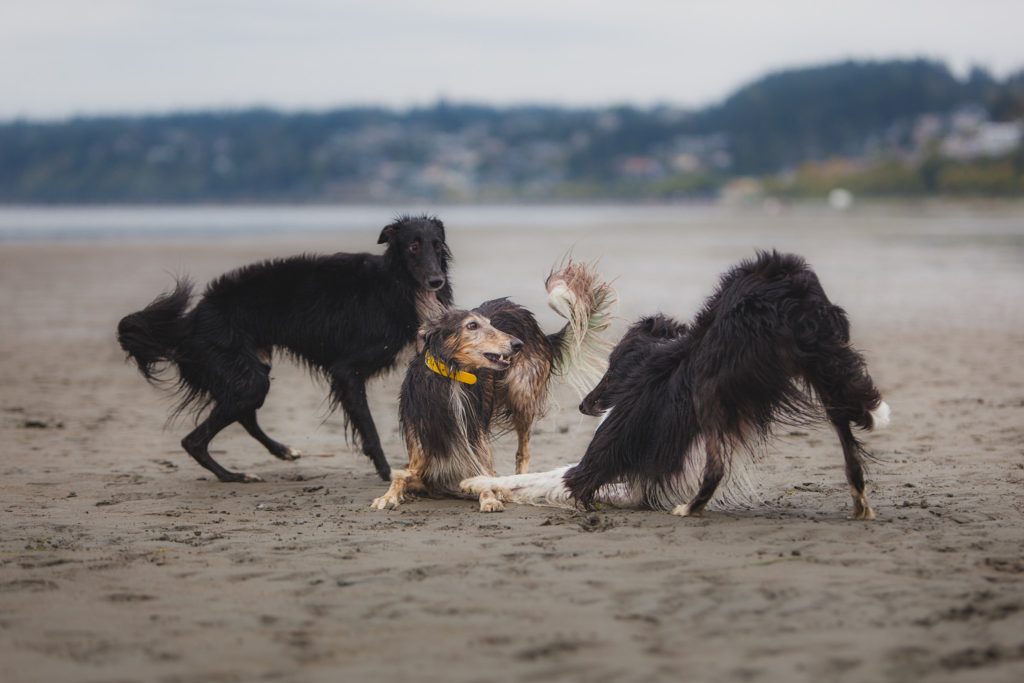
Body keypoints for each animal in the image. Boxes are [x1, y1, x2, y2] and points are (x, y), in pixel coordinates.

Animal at [117, 216, 452, 483]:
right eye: (413, 246)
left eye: (437, 245)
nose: (437, 281)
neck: (395, 282)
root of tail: (192, 319)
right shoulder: (347, 371)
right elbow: (369, 428)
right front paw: (388, 473)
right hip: (246, 378)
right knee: (194, 440)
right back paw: (234, 476)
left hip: (250, 372)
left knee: (243, 417)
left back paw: (283, 451)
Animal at [376, 262, 614, 511]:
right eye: (472, 325)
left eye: (489, 325)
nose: (518, 344)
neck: (454, 378)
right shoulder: (421, 451)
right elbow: (402, 475)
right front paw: (387, 497)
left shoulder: (476, 451)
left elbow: (486, 478)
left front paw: (491, 498)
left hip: (521, 395)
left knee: (523, 452)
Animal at [464, 250, 888, 518]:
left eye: (612, 366)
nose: (584, 405)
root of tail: (786, 280)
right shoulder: (631, 482)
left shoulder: (592, 469)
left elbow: (531, 479)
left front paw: (477, 481)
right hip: (822, 370)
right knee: (849, 439)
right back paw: (860, 504)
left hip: (713, 391)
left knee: (715, 467)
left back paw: (689, 508)